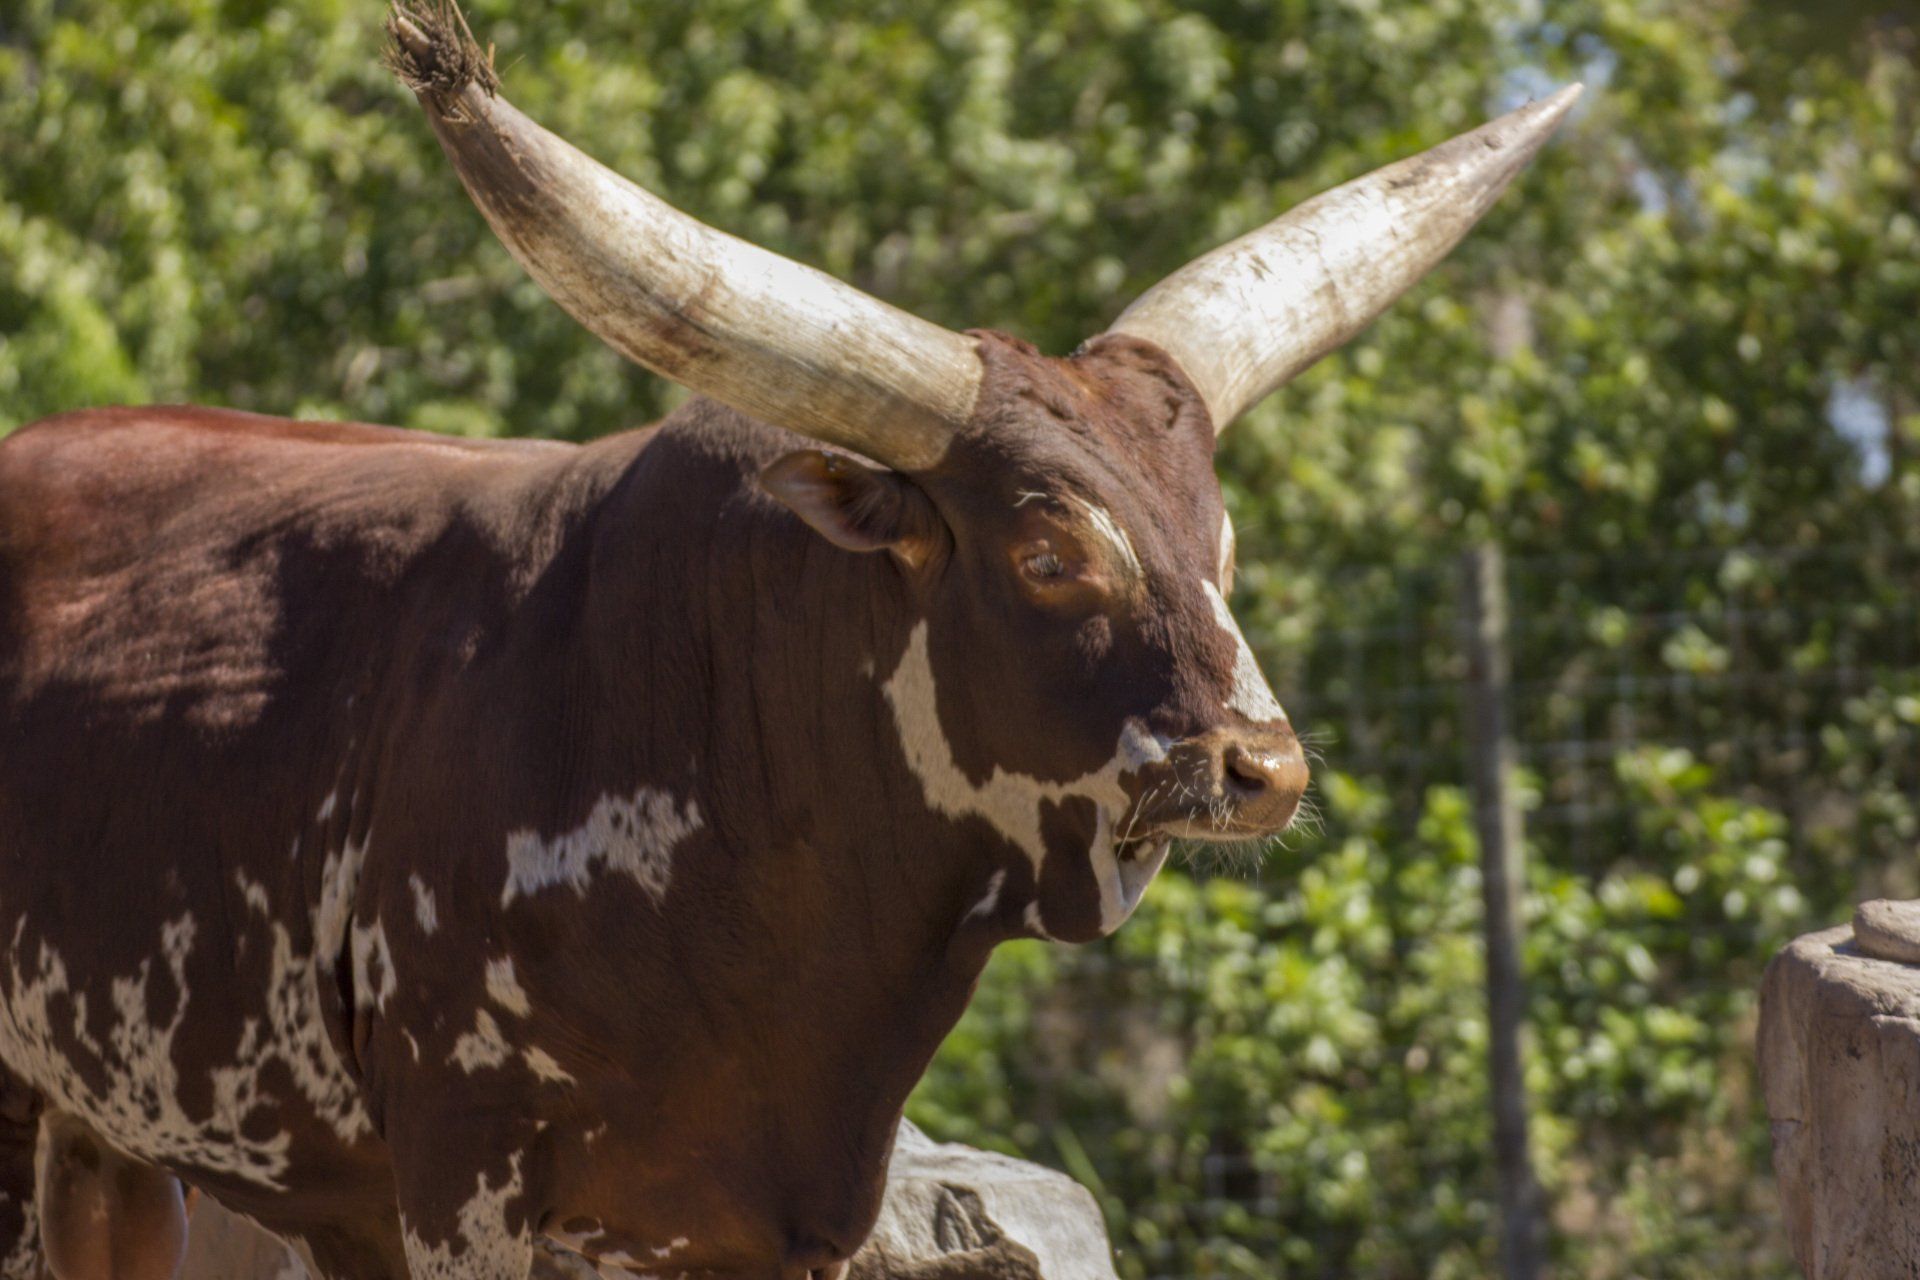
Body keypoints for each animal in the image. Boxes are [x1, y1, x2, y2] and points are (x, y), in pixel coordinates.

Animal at [0, 3, 1578, 1276]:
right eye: (1048, 552)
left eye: (1226, 544)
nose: (1263, 769)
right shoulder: (463, 1168)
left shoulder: (778, 1210)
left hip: (121, 1147)